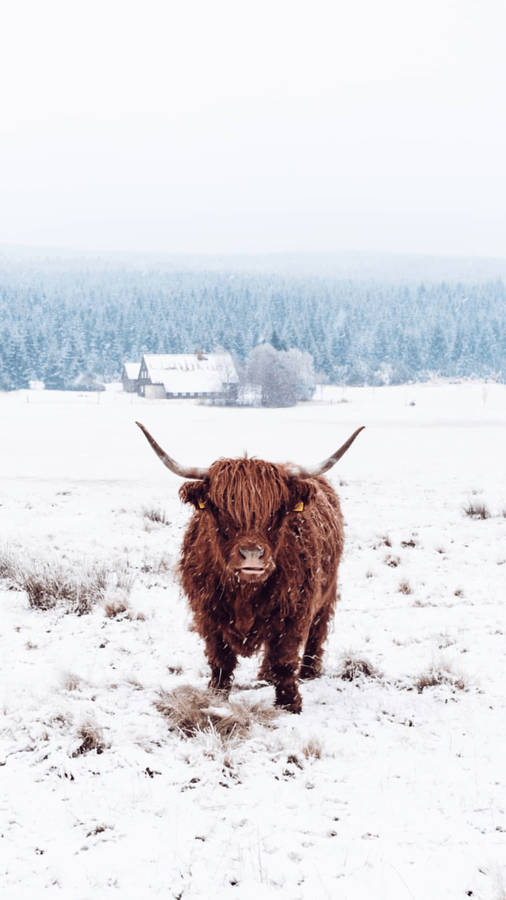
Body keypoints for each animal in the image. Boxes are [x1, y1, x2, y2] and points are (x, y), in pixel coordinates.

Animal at [136, 422, 364, 713]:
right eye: (221, 510)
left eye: (277, 512)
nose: (252, 555)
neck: (245, 592)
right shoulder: (207, 613)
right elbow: (220, 660)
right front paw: (216, 698)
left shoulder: (295, 611)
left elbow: (284, 658)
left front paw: (289, 704)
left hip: (328, 590)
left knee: (317, 630)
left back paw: (308, 671)